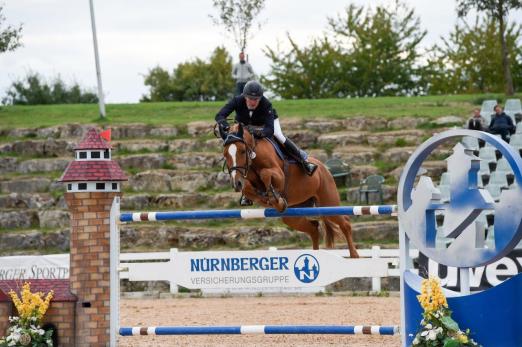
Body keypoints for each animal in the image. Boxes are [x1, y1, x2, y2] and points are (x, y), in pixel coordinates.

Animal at [219, 123, 358, 258]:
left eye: (242, 151)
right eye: (225, 154)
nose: (236, 184)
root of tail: (324, 167)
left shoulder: (279, 175)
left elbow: (265, 174)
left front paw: (275, 198)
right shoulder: (246, 180)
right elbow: (248, 187)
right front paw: (273, 200)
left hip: (328, 203)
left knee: (345, 223)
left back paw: (354, 255)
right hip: (293, 214)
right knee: (313, 229)